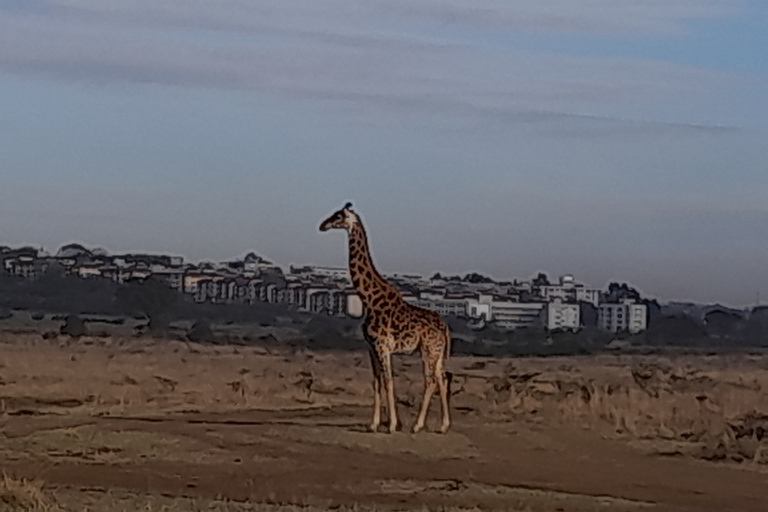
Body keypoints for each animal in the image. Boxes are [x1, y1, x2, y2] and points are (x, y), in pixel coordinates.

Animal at [316, 202, 450, 434]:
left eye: (339, 215)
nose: (323, 225)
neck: (368, 299)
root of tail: (445, 328)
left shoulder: (382, 345)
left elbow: (388, 381)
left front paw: (392, 425)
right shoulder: (371, 347)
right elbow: (377, 382)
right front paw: (374, 424)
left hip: (428, 350)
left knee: (431, 380)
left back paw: (417, 425)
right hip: (438, 352)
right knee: (441, 378)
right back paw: (443, 426)